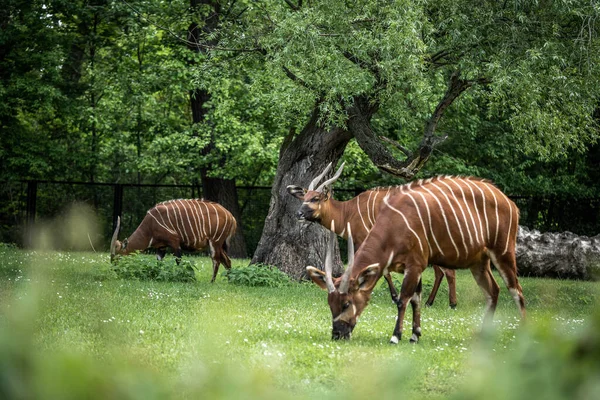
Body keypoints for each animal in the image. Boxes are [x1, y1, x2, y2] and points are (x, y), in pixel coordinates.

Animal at [288, 162, 458, 310]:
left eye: (315, 198)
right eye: (304, 197)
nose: (298, 214)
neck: (347, 212)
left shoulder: (364, 241)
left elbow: (380, 271)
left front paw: (393, 297)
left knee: (448, 272)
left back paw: (452, 304)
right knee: (440, 272)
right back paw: (430, 302)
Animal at [308, 177, 524, 342]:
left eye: (346, 303)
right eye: (330, 304)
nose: (337, 334)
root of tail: (511, 203)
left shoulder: (414, 265)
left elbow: (403, 299)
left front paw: (396, 336)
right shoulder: (412, 268)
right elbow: (415, 300)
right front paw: (415, 335)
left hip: (503, 253)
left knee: (516, 291)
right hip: (479, 263)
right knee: (493, 291)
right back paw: (482, 335)